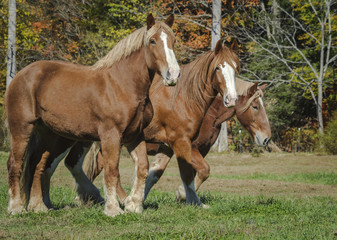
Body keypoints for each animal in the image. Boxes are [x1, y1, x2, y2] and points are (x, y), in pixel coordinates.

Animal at [3, 13, 180, 218]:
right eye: (152, 41)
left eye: (173, 41)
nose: (173, 74)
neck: (122, 85)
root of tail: (21, 75)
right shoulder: (111, 136)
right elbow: (112, 171)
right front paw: (113, 209)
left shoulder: (134, 136)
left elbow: (142, 167)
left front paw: (134, 205)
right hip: (22, 128)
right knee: (15, 164)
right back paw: (16, 208)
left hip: (48, 133)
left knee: (37, 165)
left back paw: (39, 207)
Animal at [80, 78, 270, 202]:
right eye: (255, 106)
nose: (266, 138)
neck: (206, 110)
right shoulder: (189, 147)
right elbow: (204, 170)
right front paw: (181, 194)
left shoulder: (174, 149)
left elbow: (156, 174)